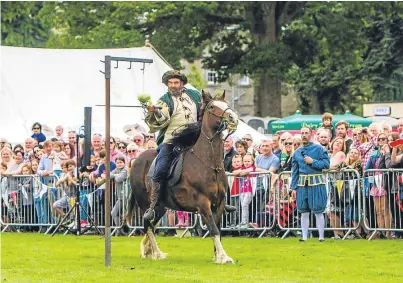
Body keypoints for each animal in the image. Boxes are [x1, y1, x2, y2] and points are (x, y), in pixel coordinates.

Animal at [126, 90, 238, 264]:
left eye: (226, 105)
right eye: (212, 107)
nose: (233, 118)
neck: (210, 165)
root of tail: (136, 160)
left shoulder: (219, 204)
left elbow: (218, 230)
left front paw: (217, 256)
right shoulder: (203, 203)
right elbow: (213, 229)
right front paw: (223, 257)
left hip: (161, 207)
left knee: (152, 224)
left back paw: (149, 251)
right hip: (146, 204)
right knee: (147, 224)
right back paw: (156, 253)